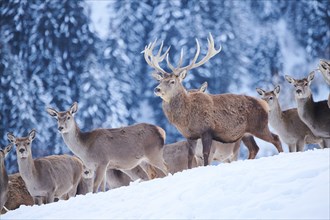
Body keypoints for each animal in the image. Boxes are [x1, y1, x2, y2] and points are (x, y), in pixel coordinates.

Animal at [143, 32, 282, 168]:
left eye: (172, 81)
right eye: (160, 80)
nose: (157, 89)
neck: (185, 118)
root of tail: (264, 104)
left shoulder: (207, 131)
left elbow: (206, 155)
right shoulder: (190, 136)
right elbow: (190, 157)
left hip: (259, 126)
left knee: (276, 138)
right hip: (246, 133)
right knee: (254, 148)